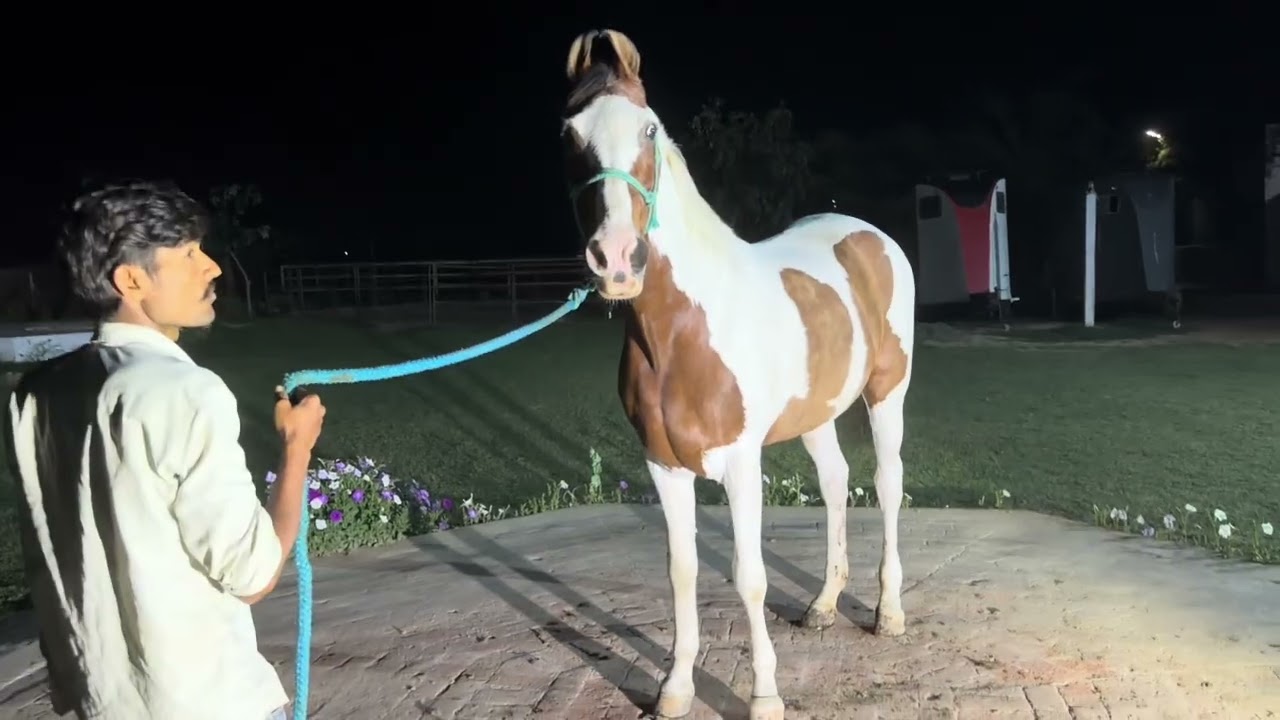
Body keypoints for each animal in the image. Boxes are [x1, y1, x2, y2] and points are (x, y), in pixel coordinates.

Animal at [560, 29, 916, 720]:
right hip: (818, 413)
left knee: (888, 486)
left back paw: (888, 613)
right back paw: (824, 605)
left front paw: (765, 696)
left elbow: (749, 576)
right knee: (836, 482)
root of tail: (870, 235)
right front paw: (675, 689)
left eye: (649, 129)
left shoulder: (742, 464)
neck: (683, 333)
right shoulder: (664, 466)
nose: (616, 259)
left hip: (888, 392)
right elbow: (683, 571)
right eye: (569, 134)